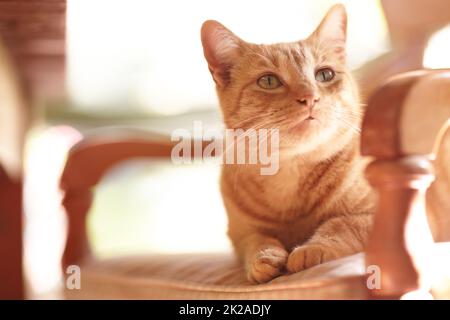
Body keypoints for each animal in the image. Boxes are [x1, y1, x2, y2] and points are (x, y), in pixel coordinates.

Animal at [201, 3, 376, 282]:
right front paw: (264, 257)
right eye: (269, 81)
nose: (310, 97)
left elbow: (342, 224)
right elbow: (256, 240)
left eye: (324, 74)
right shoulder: (240, 234)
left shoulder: (375, 214)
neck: (290, 171)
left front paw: (314, 247)